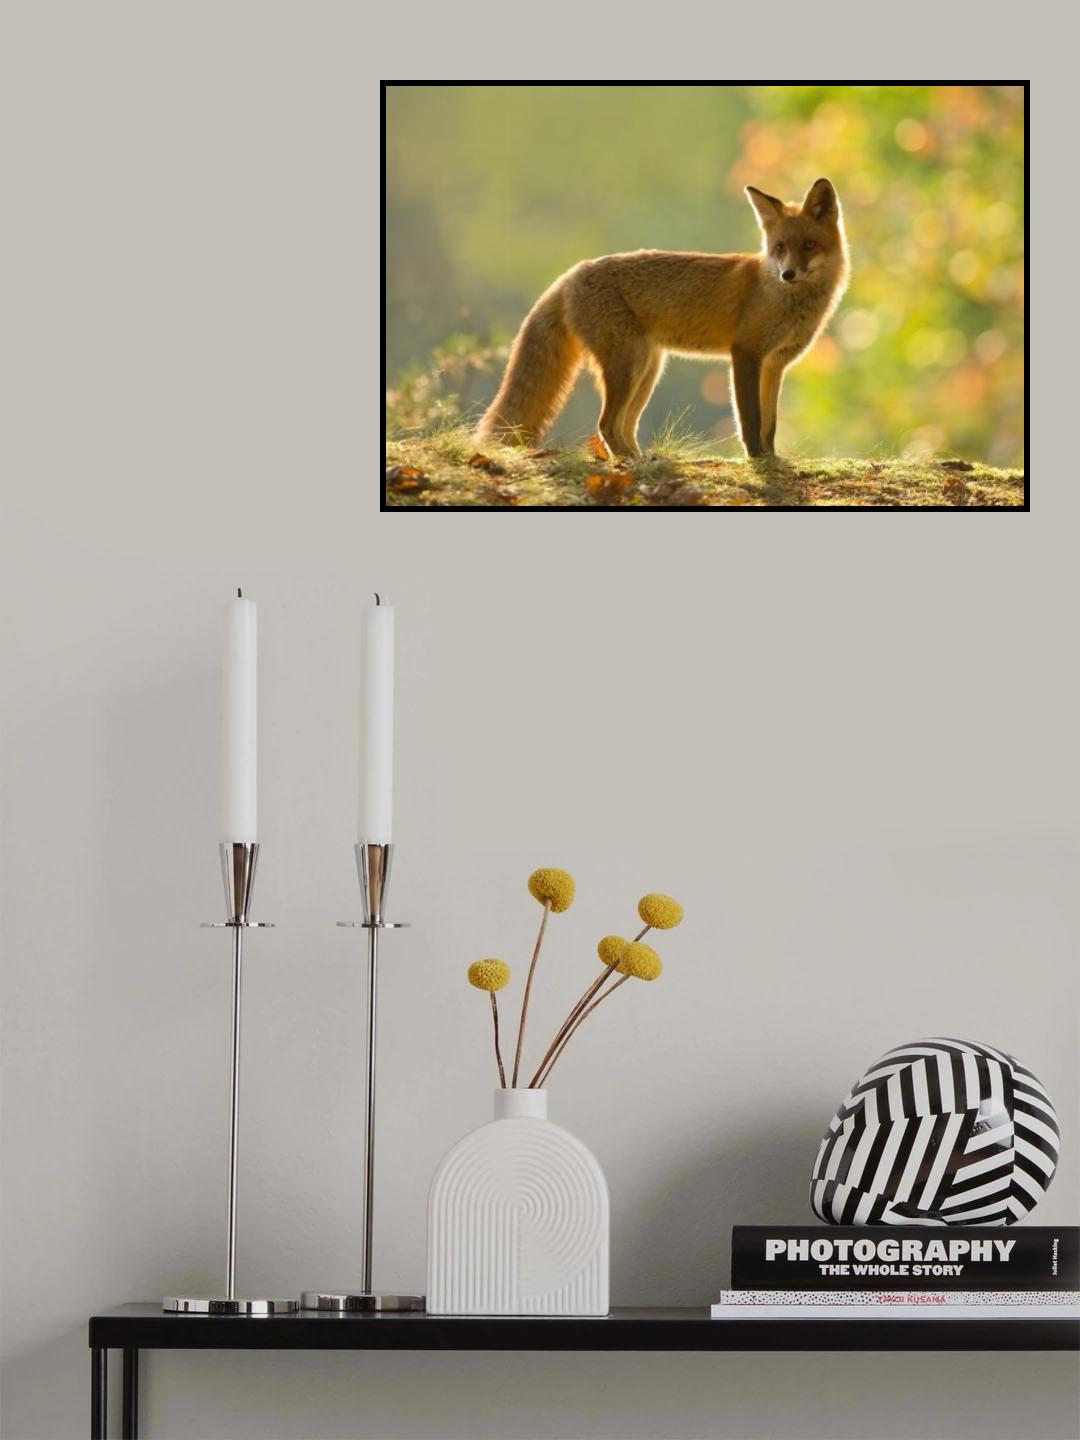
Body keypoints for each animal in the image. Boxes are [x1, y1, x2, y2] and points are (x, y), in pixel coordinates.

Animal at [477, 177, 849, 460]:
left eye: (809, 245)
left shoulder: (774, 364)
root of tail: (571, 273)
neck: (783, 297)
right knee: (606, 423)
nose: (787, 274)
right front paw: (756, 459)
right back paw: (629, 463)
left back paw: (639, 458)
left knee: (623, 425)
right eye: (780, 248)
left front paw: (771, 458)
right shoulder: (745, 353)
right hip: (630, 364)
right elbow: (750, 418)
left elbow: (770, 422)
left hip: (647, 368)